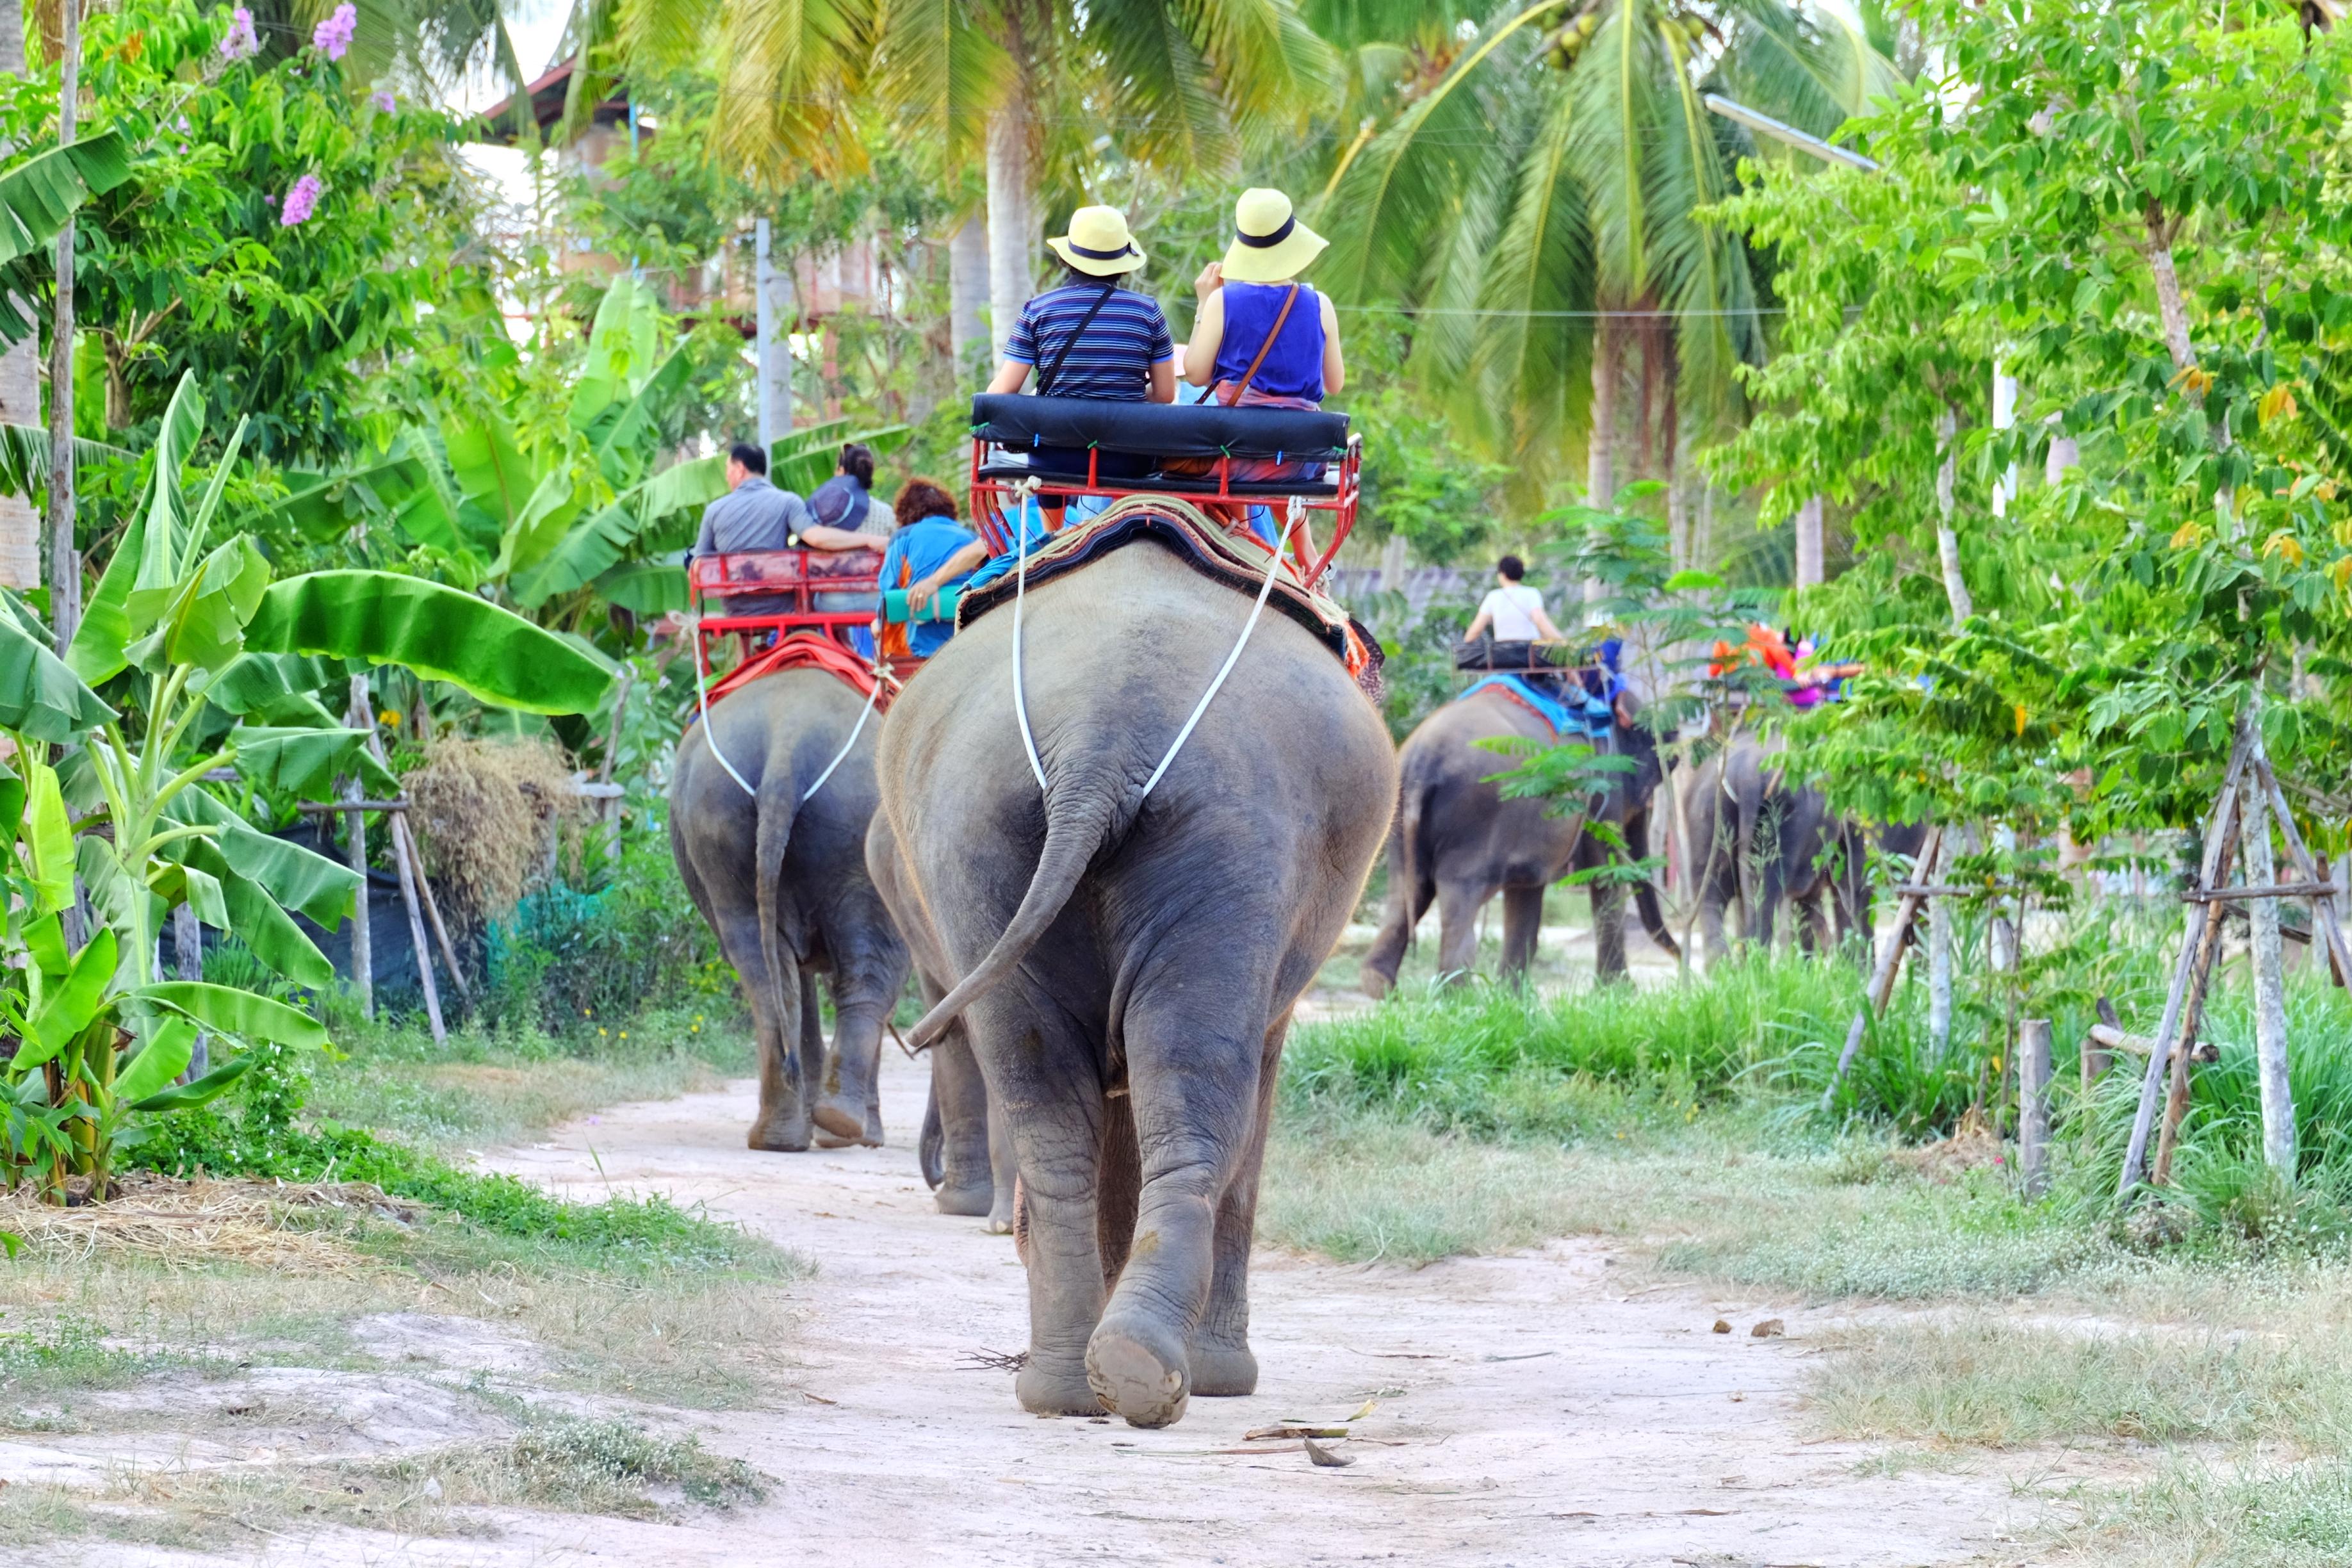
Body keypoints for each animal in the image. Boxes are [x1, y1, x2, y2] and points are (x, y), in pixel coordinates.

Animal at [677, 667, 912, 1152]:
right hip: (862, 826)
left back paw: (780, 1136)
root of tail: (787, 740)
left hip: (717, 824)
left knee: (764, 974)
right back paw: (846, 1128)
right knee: (874, 971)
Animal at [879, 543, 1392, 1439]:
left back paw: (1080, 1383)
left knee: (1046, 1087)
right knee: (1198, 1080)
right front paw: (1218, 1379)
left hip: (980, 834)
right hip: (1229, 837)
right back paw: (1158, 1374)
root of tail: (1097, 741)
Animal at [1355, 682, 1684, 1001]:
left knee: (1409, 890)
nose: (1681, 958)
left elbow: (1527, 890)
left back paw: (1380, 985)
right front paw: (1621, 993)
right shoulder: (1602, 788)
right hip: (1476, 814)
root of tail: (1423, 763)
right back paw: (1460, 995)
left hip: (1398, 818)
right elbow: (1604, 872)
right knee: (1458, 894)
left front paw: (1512, 999)